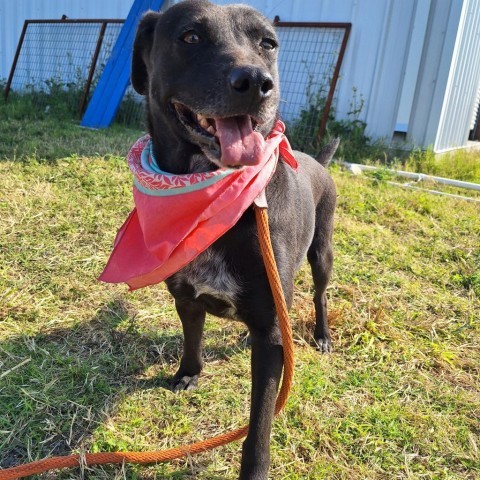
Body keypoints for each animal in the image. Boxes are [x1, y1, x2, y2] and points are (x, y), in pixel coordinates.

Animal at [129, 1, 336, 478]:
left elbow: (259, 422)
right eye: (190, 37)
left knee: (318, 294)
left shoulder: (270, 335)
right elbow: (193, 337)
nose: (257, 83)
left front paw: (255, 468)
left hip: (322, 253)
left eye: (268, 43)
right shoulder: (187, 297)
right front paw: (189, 372)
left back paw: (321, 334)